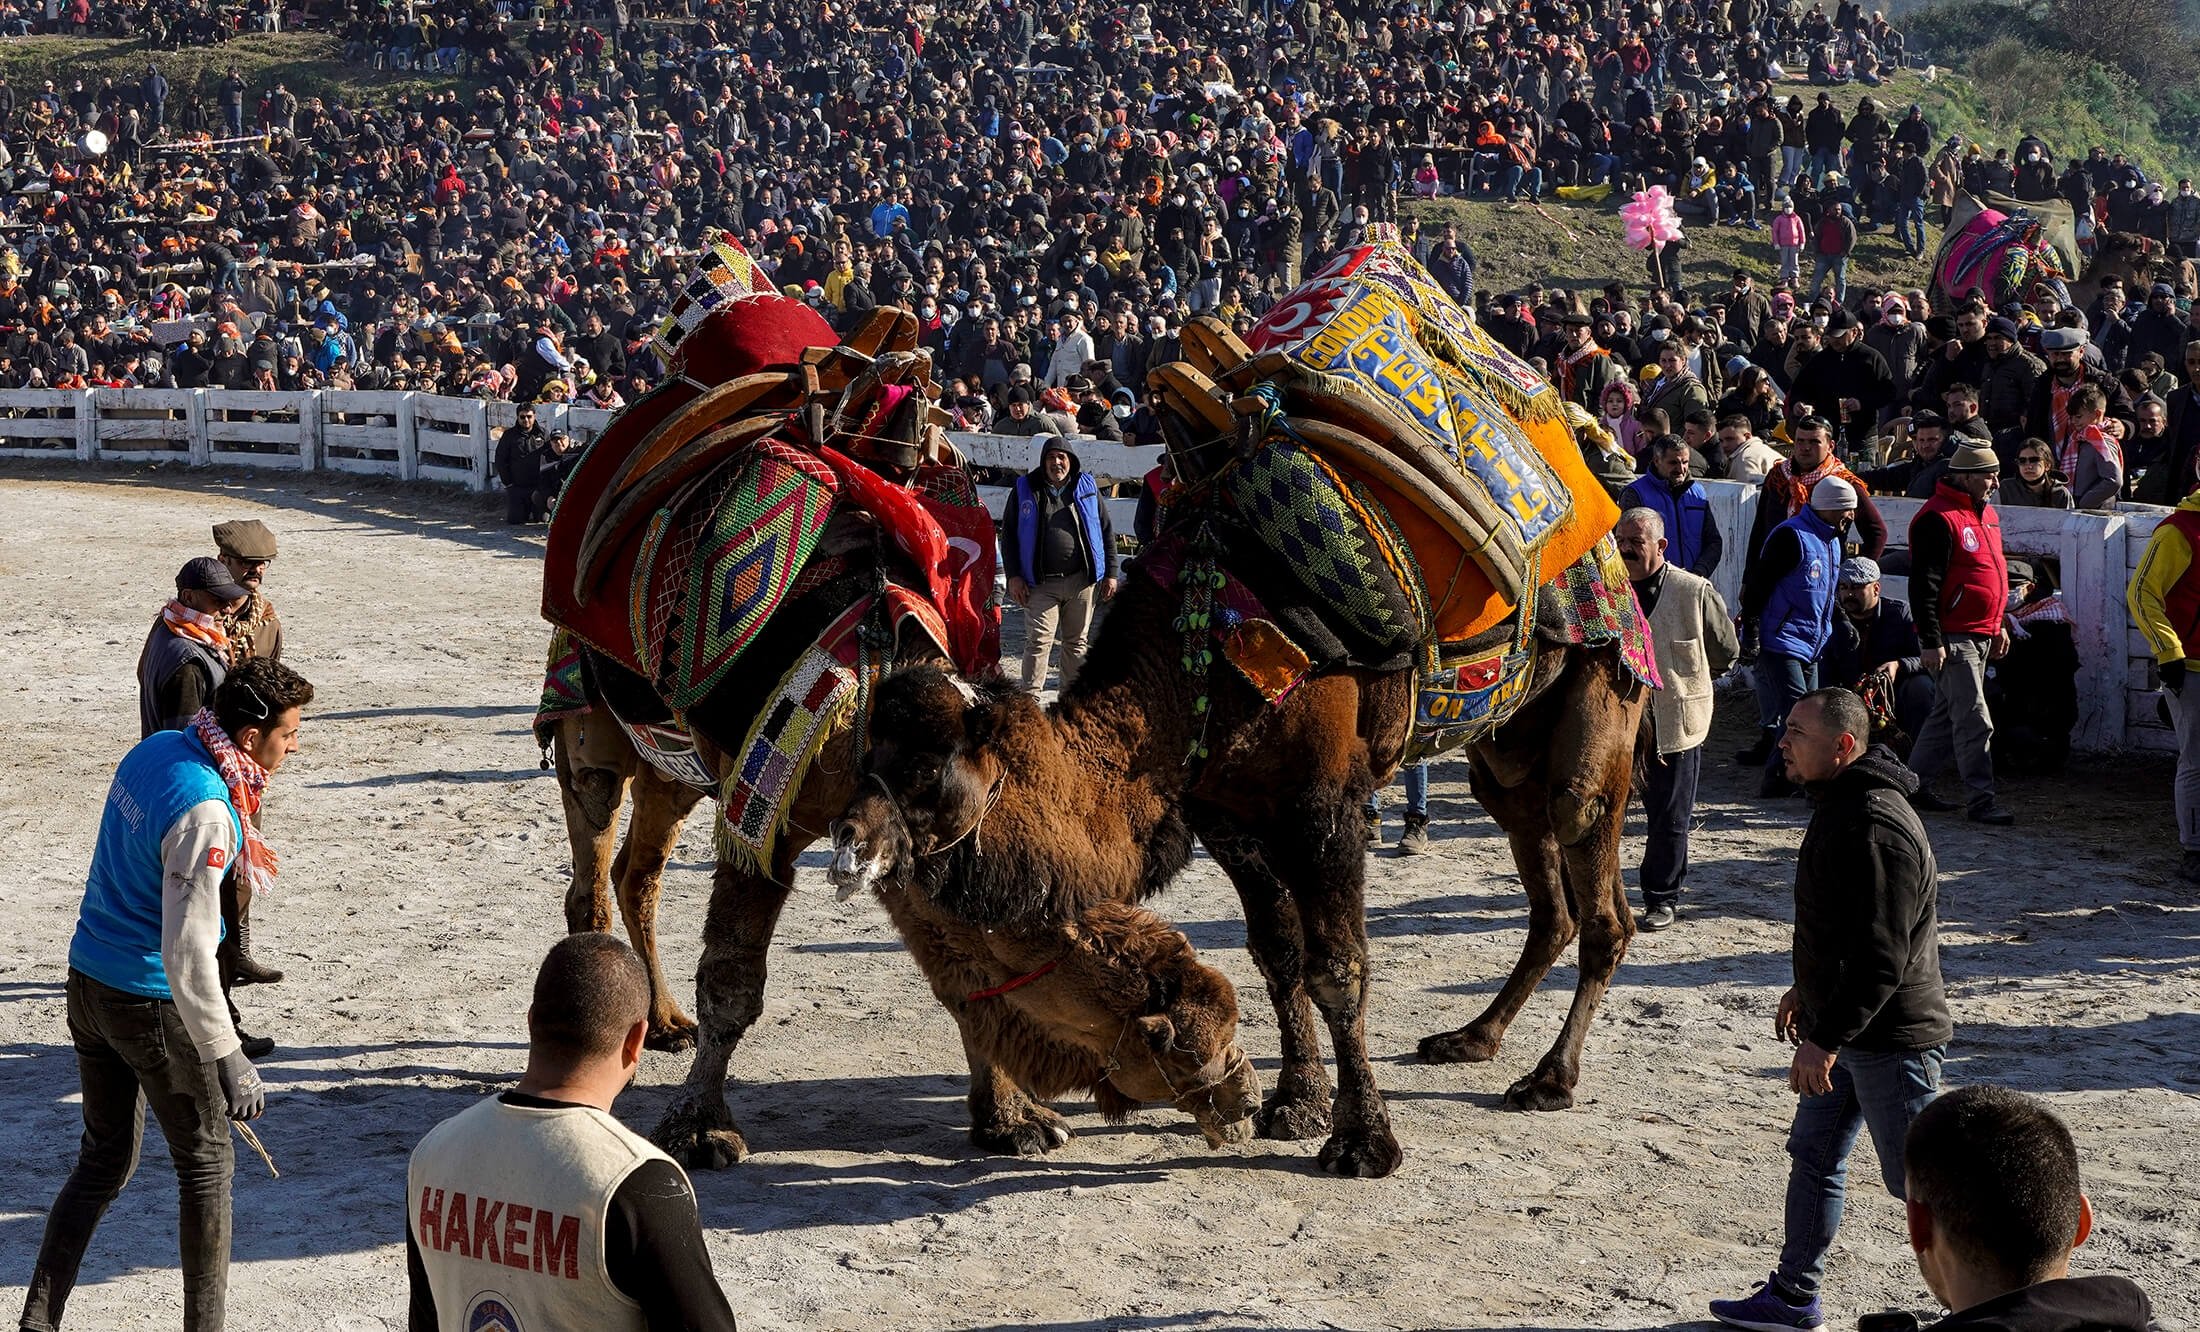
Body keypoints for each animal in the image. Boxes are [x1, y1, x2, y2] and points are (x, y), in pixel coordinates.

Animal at [831, 561, 1645, 1171]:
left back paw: (1550, 1079)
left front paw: (1362, 1143)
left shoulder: (1325, 805)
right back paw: (1472, 1039)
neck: (1188, 674)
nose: (848, 839)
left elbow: (1337, 968)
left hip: (1602, 693)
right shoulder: (1228, 816)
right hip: (1506, 753)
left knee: (1596, 881)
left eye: (926, 770)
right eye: (868, 756)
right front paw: (1297, 1103)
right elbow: (1278, 955)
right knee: (1551, 899)